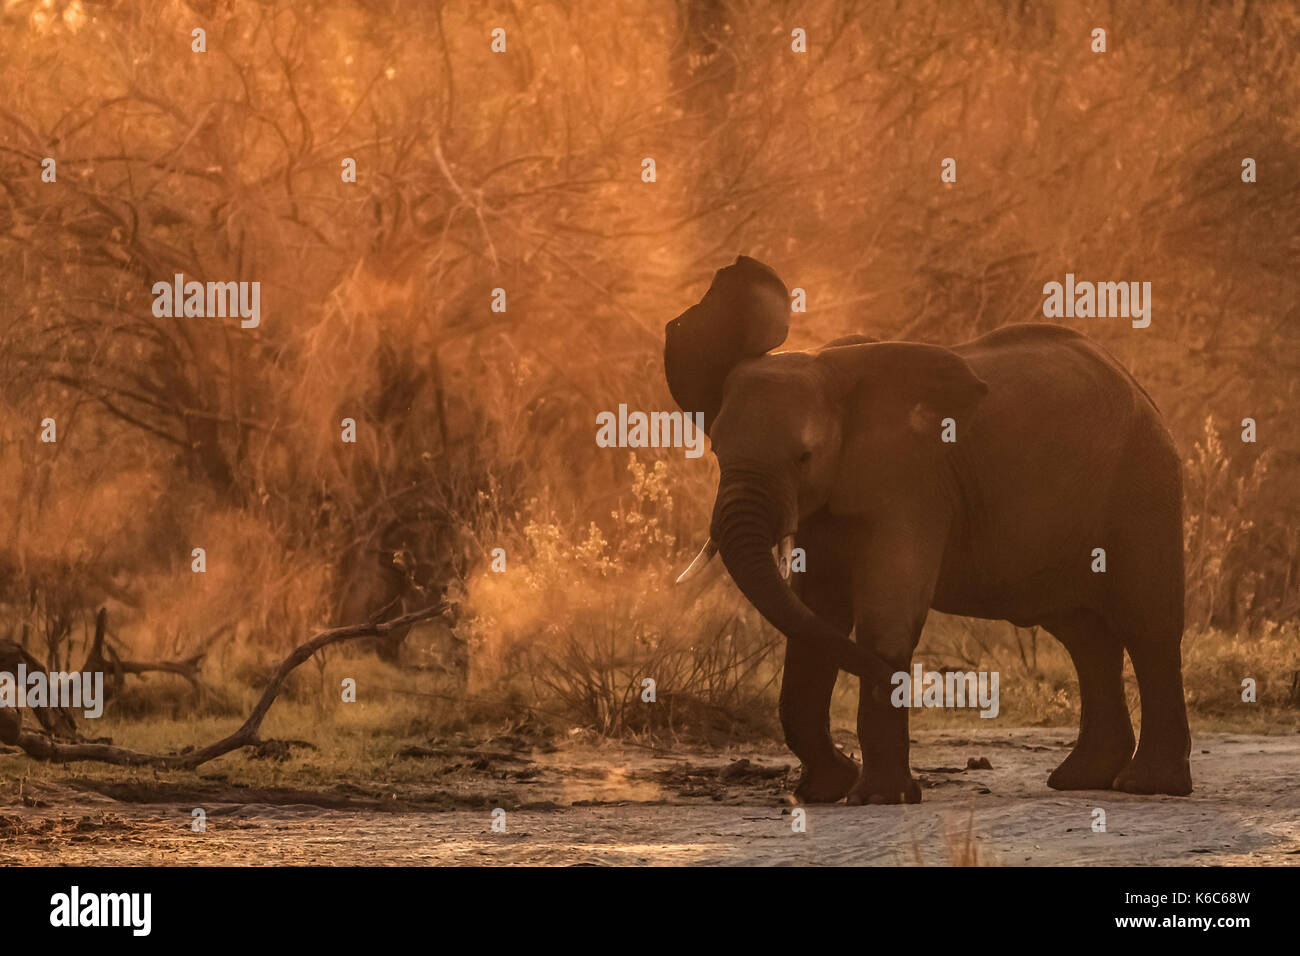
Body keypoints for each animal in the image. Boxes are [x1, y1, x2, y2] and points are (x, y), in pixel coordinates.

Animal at [665, 254, 1190, 801]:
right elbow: (814, 613)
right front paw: (825, 791)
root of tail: (1136, 386)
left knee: (1149, 626)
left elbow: (886, 615)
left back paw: (1148, 786)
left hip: (1143, 482)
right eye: (717, 452)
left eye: (804, 457)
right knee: (1085, 637)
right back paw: (1080, 779)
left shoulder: (912, 481)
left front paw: (877, 798)